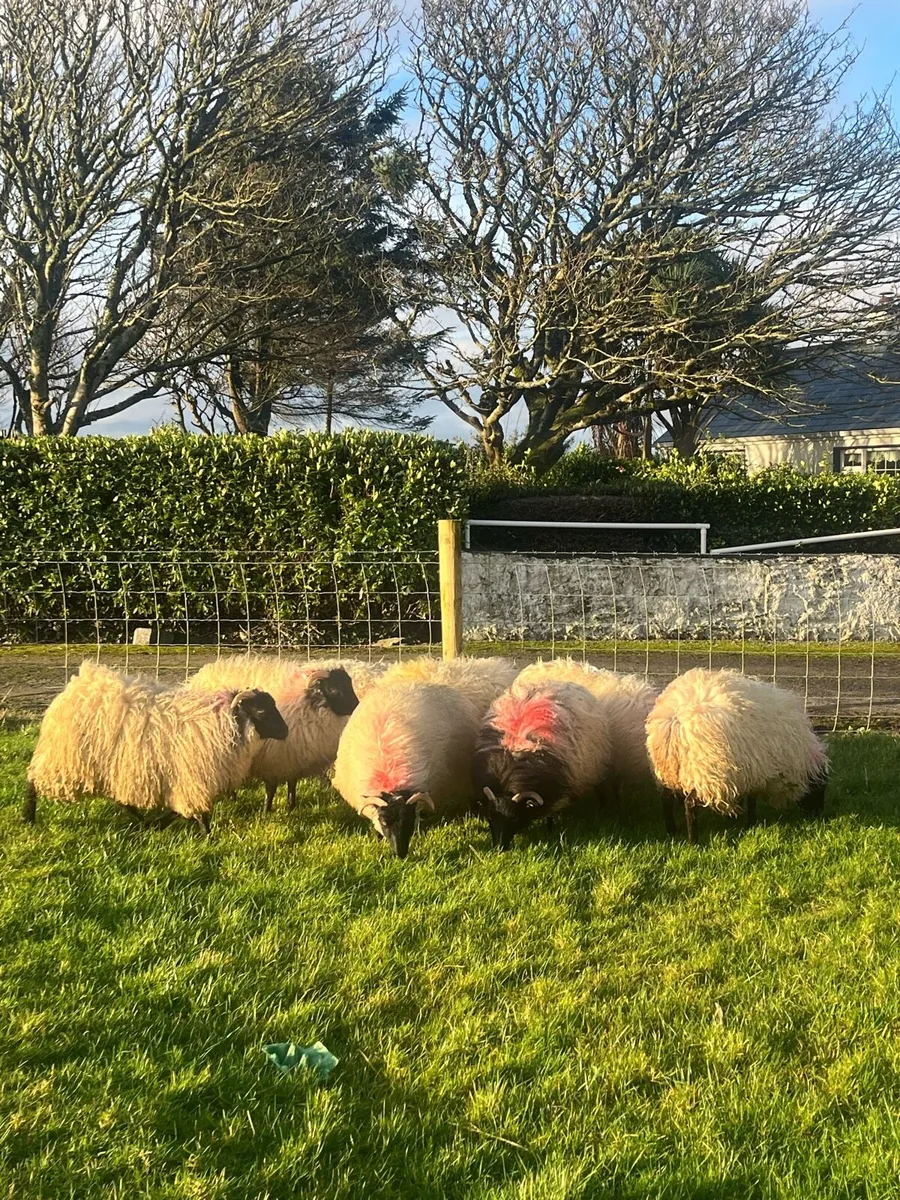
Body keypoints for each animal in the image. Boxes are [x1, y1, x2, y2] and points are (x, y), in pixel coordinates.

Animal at [24, 661, 289, 833]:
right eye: (262, 711)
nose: (286, 732)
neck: (220, 721)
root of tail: (75, 686)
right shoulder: (193, 777)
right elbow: (198, 811)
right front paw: (208, 836)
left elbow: (180, 809)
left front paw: (160, 823)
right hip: (63, 759)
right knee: (33, 780)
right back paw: (28, 817)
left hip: (109, 766)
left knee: (122, 800)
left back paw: (142, 821)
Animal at [187, 655, 379, 812]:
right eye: (334, 689)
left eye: (349, 684)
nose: (358, 708)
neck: (307, 704)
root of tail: (201, 675)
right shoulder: (273, 756)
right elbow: (271, 788)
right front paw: (267, 811)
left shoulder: (292, 756)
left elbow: (292, 783)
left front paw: (290, 806)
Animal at [474, 677, 614, 849]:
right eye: (490, 817)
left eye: (514, 818)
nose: (500, 848)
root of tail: (561, 682)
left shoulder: (554, 789)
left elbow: (549, 815)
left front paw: (550, 832)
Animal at [645, 667, 829, 844]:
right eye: (820, 788)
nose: (818, 814)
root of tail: (674, 720)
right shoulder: (757, 772)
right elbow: (752, 801)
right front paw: (751, 823)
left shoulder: (748, 773)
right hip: (706, 771)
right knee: (690, 805)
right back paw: (694, 842)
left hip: (667, 773)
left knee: (666, 800)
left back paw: (672, 831)